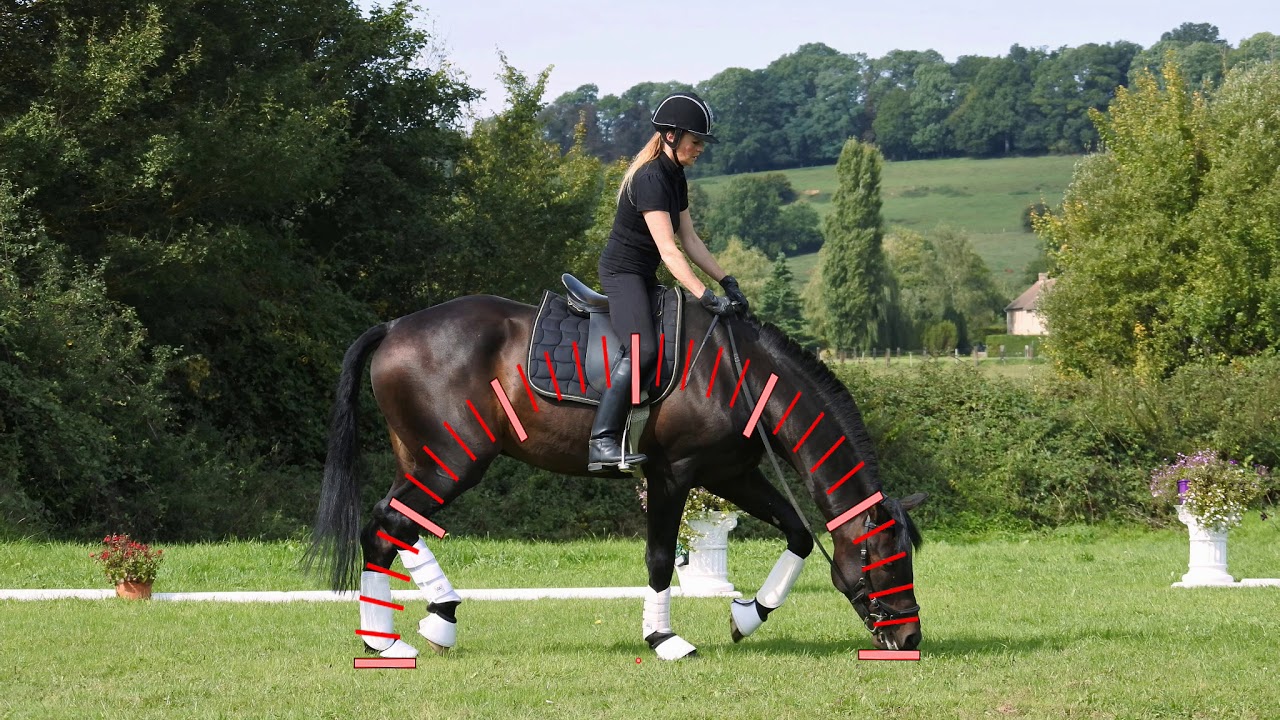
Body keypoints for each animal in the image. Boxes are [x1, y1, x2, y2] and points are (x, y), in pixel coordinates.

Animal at [306, 283, 925, 661]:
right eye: (885, 555)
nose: (910, 635)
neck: (742, 374)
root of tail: (394, 327)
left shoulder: (730, 474)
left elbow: (797, 533)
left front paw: (748, 616)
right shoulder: (675, 474)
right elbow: (659, 558)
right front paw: (664, 638)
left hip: (428, 460)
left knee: (396, 527)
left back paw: (433, 618)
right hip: (452, 462)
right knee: (386, 527)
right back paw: (389, 643)